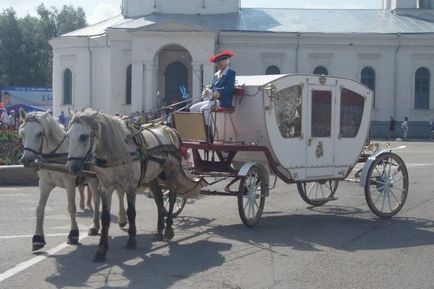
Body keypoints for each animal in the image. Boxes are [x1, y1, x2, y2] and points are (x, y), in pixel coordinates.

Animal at [18, 109, 127, 250]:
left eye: (39, 134)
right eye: (22, 133)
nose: (26, 159)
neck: (56, 156)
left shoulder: (69, 183)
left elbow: (71, 208)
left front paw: (73, 234)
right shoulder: (44, 183)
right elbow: (39, 208)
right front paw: (38, 238)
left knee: (119, 194)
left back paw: (122, 219)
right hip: (93, 180)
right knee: (97, 200)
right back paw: (95, 226)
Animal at [65, 110, 202, 260]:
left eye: (83, 136)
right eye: (68, 136)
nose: (72, 167)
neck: (116, 153)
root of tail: (170, 129)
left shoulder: (130, 186)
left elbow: (131, 212)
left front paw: (131, 239)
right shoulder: (105, 187)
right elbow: (105, 217)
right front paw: (101, 249)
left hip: (169, 174)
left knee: (171, 197)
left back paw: (168, 229)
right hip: (152, 176)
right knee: (159, 199)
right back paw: (159, 230)